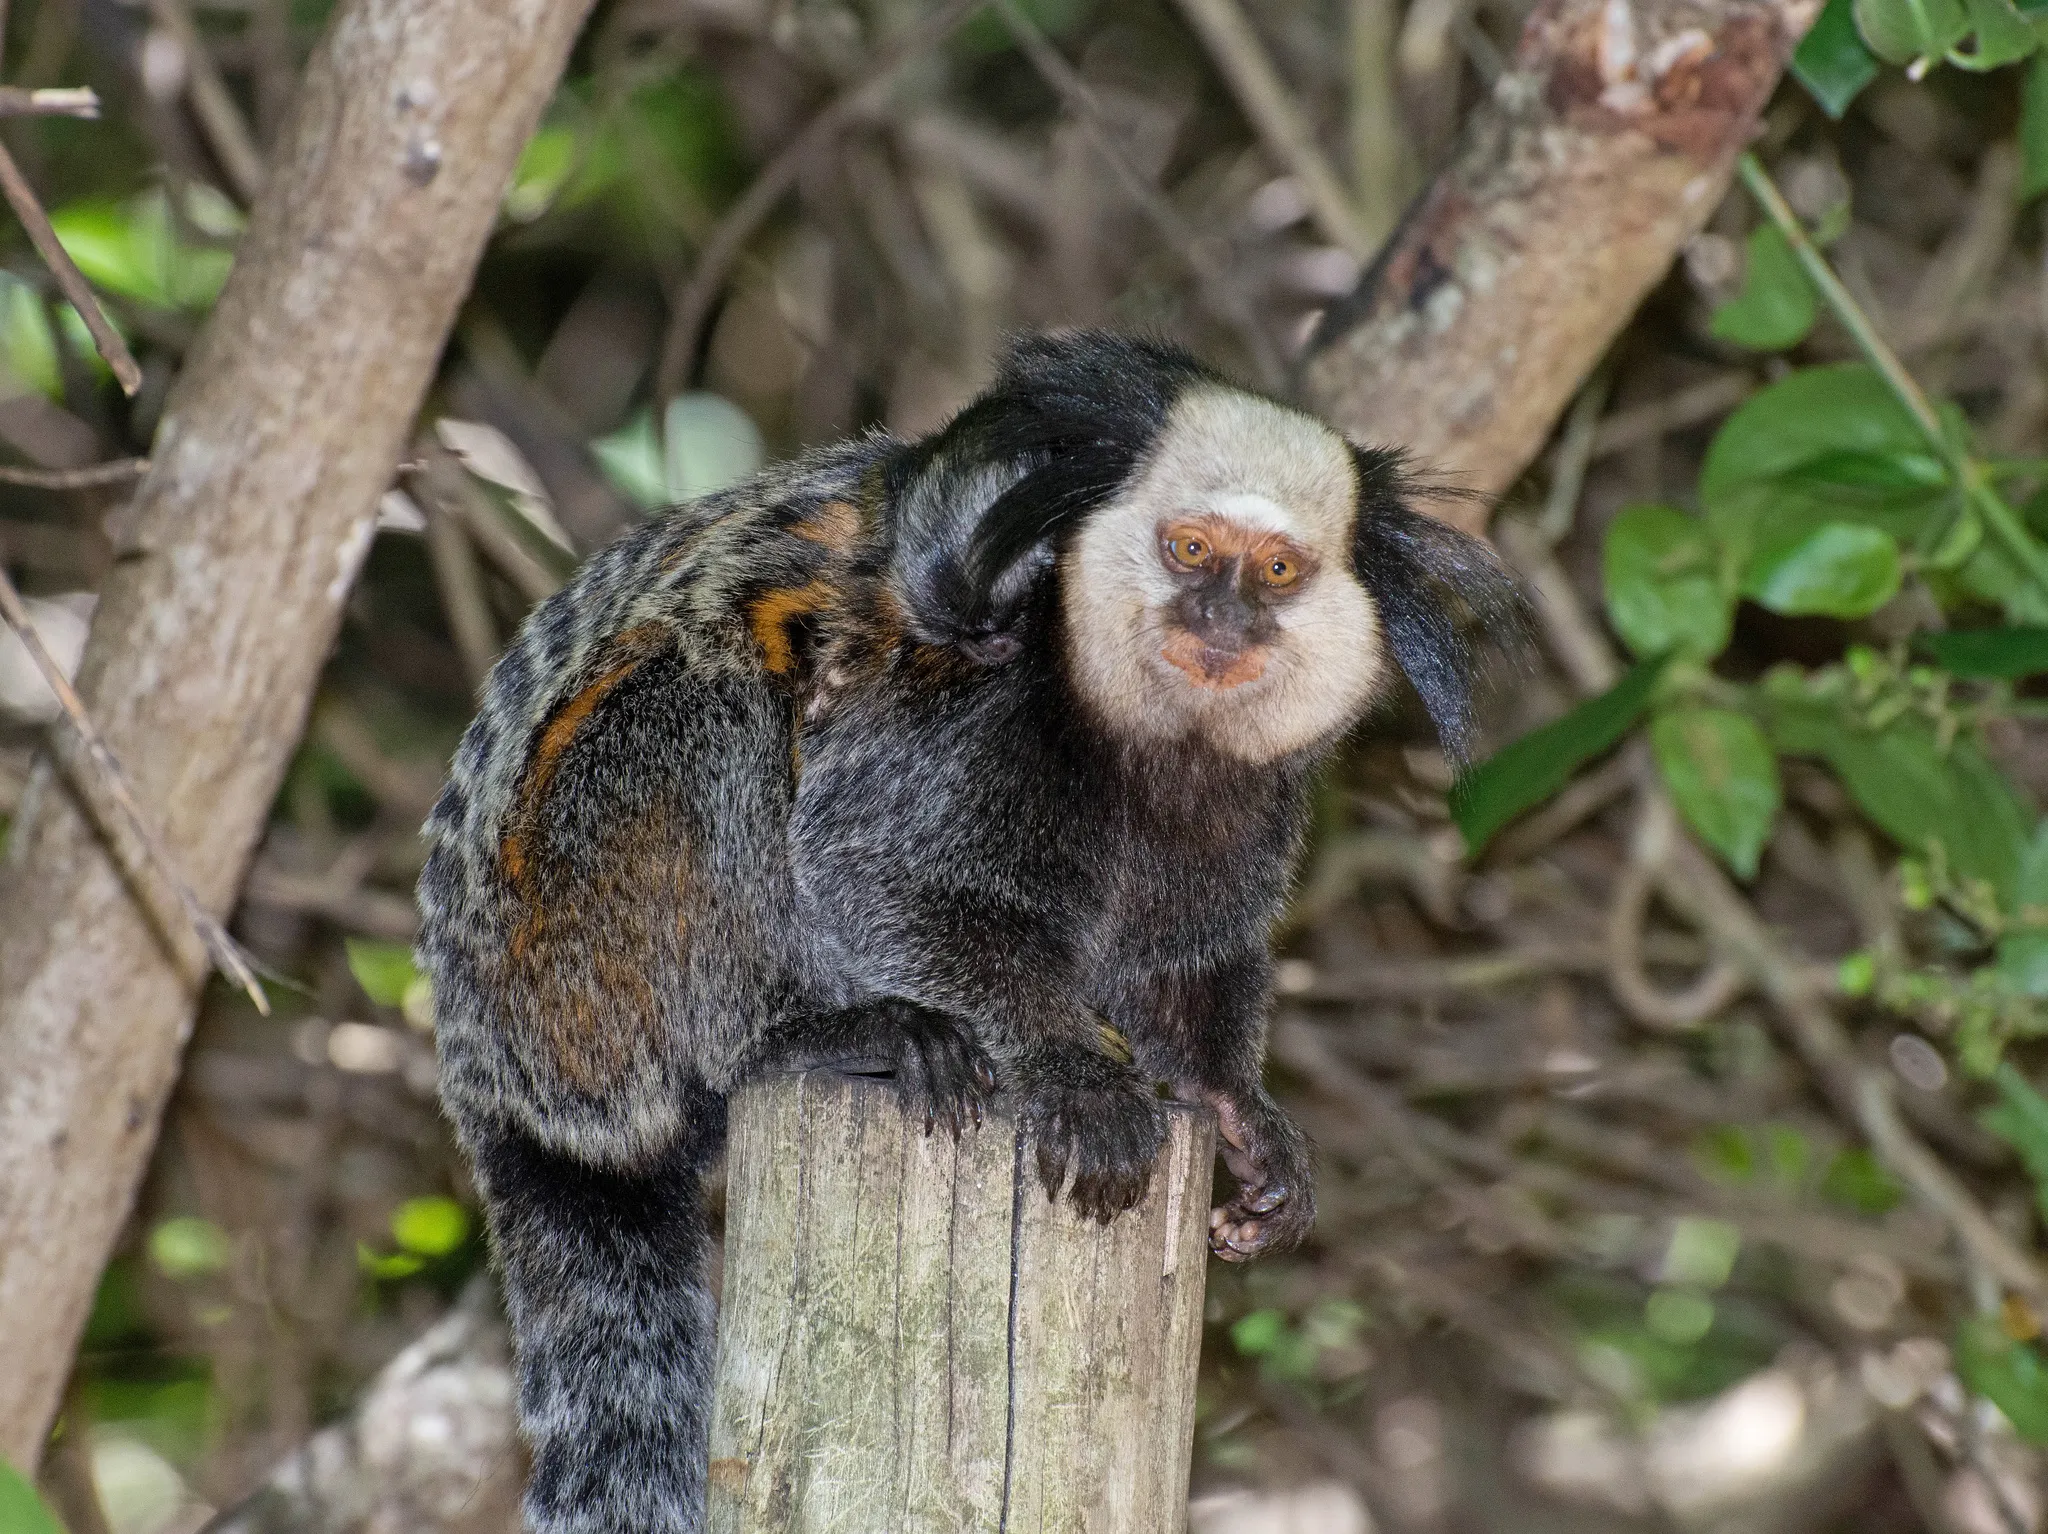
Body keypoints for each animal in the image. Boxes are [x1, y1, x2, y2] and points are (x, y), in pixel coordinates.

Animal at [415, 330, 1519, 1534]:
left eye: (1274, 569)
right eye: (1188, 549)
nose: (1221, 618)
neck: (1145, 738)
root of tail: (483, 1064)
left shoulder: (1245, 796)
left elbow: (1185, 964)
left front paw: (1240, 1116)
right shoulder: (967, 703)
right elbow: (872, 870)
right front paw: (1072, 1072)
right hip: (571, 936)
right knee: (699, 698)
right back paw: (810, 1036)